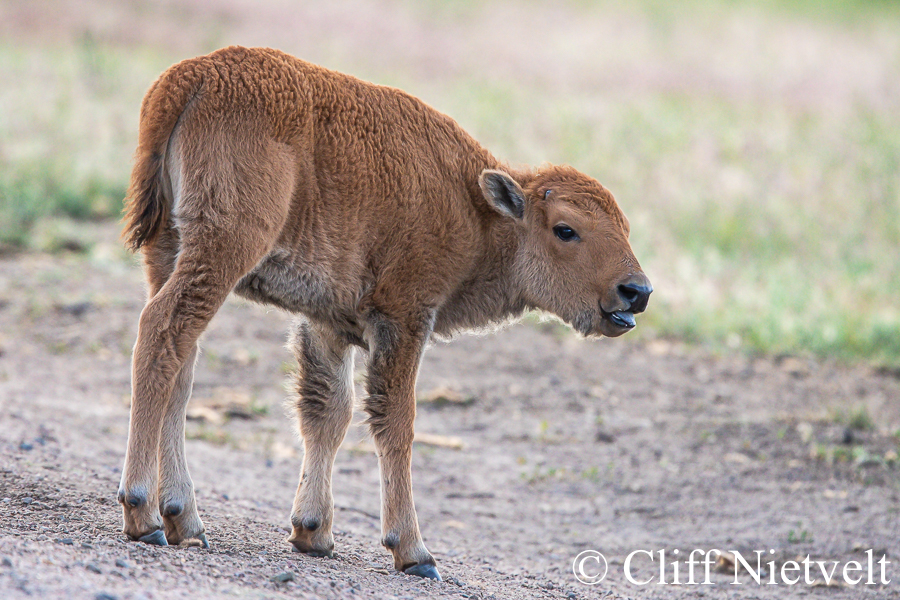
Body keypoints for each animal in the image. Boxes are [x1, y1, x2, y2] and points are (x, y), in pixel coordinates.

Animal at [119, 47, 652, 580]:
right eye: (565, 230)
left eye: (625, 227)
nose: (636, 292)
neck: (476, 209)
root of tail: (193, 76)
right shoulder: (404, 316)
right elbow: (396, 422)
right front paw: (414, 552)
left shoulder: (327, 323)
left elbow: (327, 412)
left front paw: (313, 532)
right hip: (224, 248)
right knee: (162, 332)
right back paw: (144, 514)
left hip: (168, 251)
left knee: (180, 365)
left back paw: (183, 519)